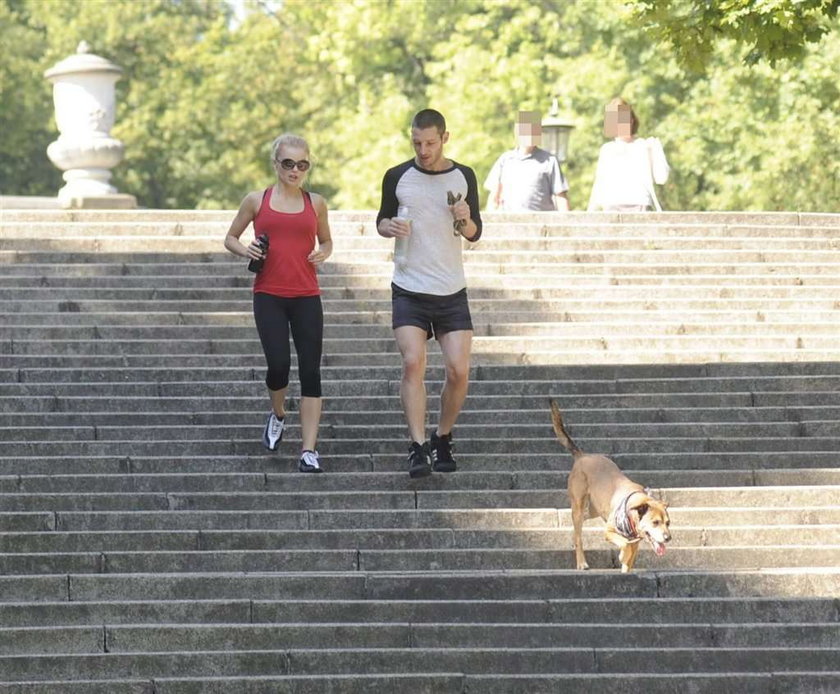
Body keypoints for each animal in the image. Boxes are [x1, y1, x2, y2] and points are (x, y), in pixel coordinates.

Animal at [548, 400, 672, 572]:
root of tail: (582, 456)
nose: (668, 538)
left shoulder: (636, 542)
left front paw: (625, 567)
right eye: (655, 522)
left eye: (668, 523)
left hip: (595, 509)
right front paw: (621, 556)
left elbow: (629, 560)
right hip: (579, 502)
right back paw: (581, 562)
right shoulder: (609, 531)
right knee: (579, 532)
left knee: (580, 522)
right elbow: (624, 545)